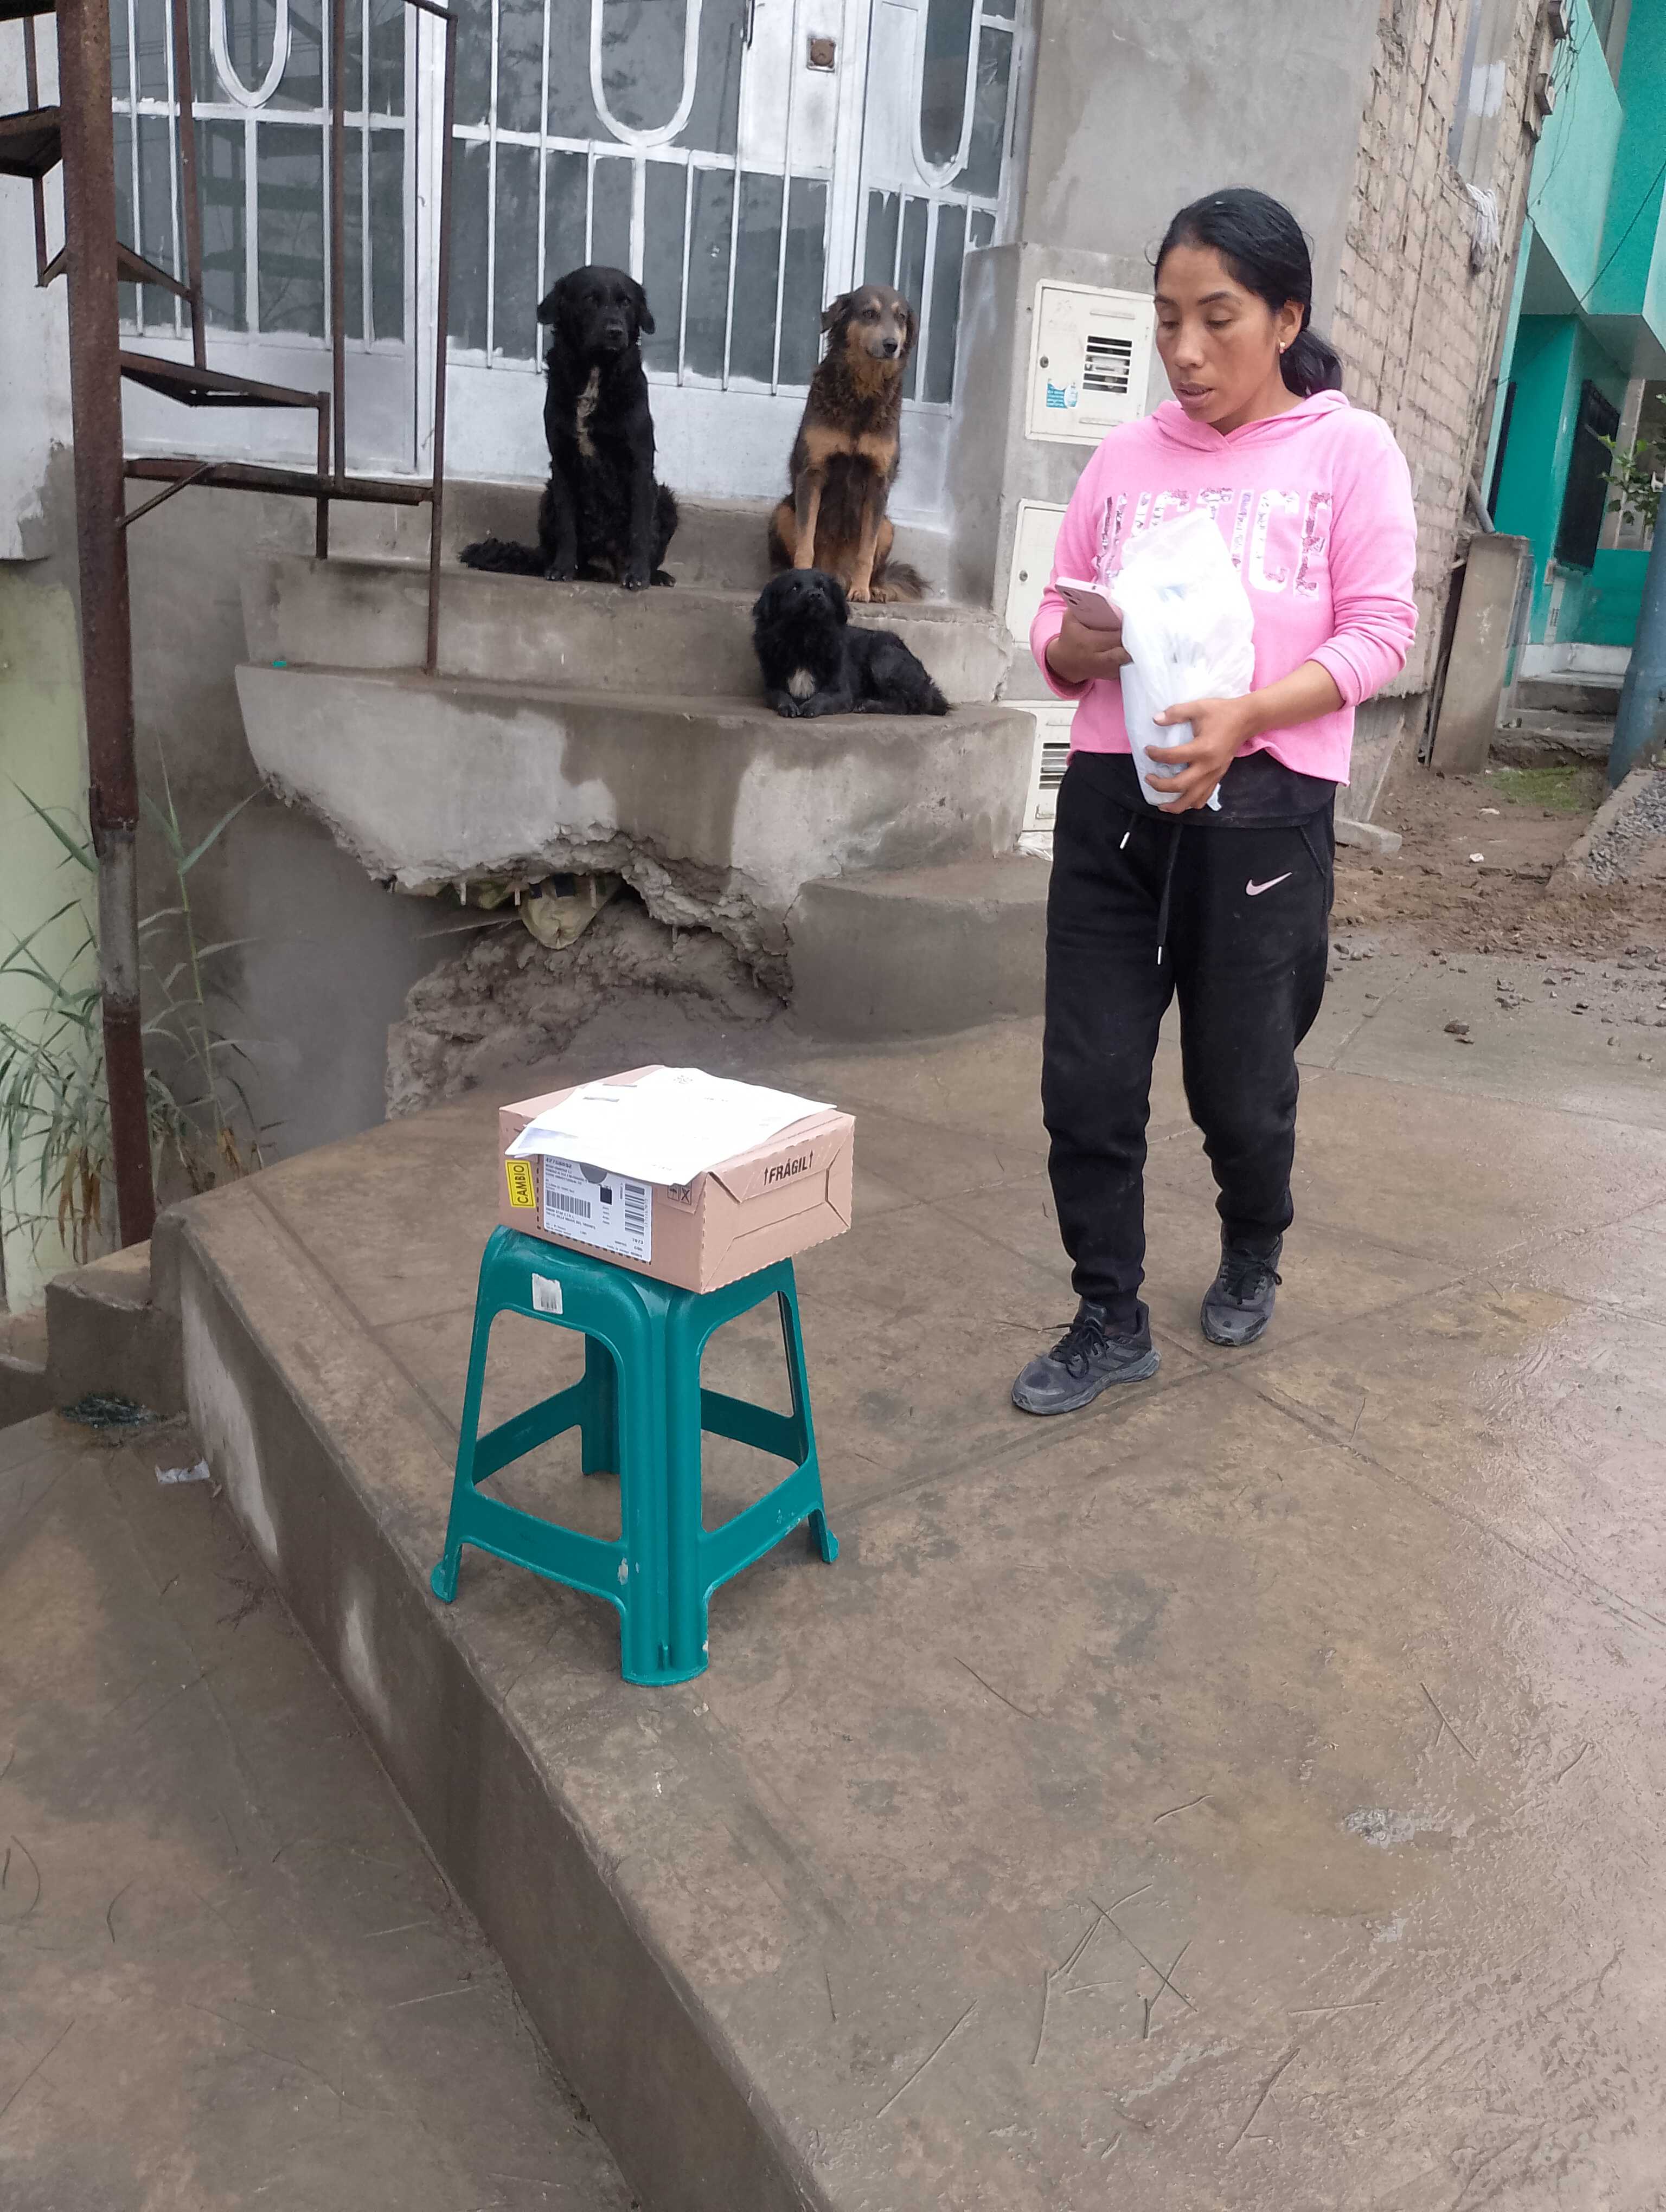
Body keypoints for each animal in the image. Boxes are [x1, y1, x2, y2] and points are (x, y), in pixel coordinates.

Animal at [460, 265, 677, 590]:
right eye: (590, 299)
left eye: (626, 303)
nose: (616, 331)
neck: (596, 373)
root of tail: (608, 565)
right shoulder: (562, 463)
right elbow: (567, 526)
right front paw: (562, 568)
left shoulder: (639, 462)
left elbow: (639, 528)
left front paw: (639, 575)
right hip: (546, 499)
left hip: (665, 499)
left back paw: (654, 575)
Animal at [752, 569, 947, 719]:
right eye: (794, 588)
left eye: (822, 588)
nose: (816, 595)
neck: (806, 637)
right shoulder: (772, 686)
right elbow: (780, 695)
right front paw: (788, 706)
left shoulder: (842, 693)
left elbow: (822, 697)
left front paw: (809, 706)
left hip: (883, 660)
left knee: (906, 704)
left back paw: (868, 705)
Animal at [766, 285, 927, 603]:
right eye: (869, 313)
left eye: (901, 317)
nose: (892, 345)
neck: (862, 393)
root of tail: (835, 575)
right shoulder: (813, 473)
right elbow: (806, 542)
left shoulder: (878, 480)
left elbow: (866, 549)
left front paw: (861, 590)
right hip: (783, 513)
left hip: (888, 527)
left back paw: (876, 588)